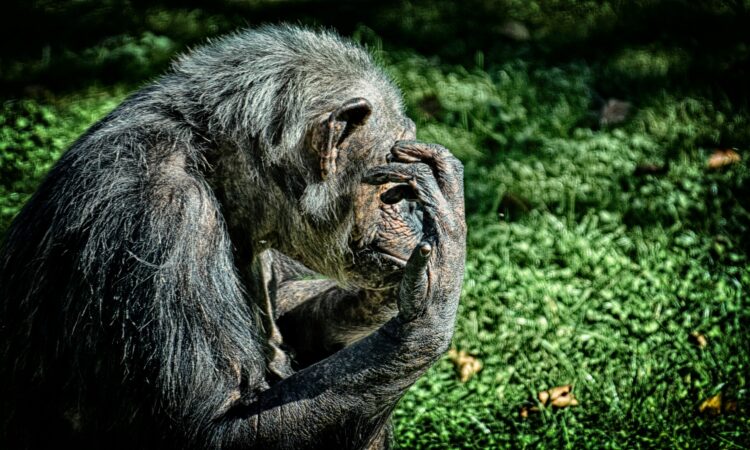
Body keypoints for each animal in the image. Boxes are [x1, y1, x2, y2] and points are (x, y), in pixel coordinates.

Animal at [0, 24, 466, 449]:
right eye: (395, 188)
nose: (411, 212)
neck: (212, 164)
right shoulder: (167, 217)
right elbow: (219, 428)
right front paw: (436, 287)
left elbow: (288, 309)